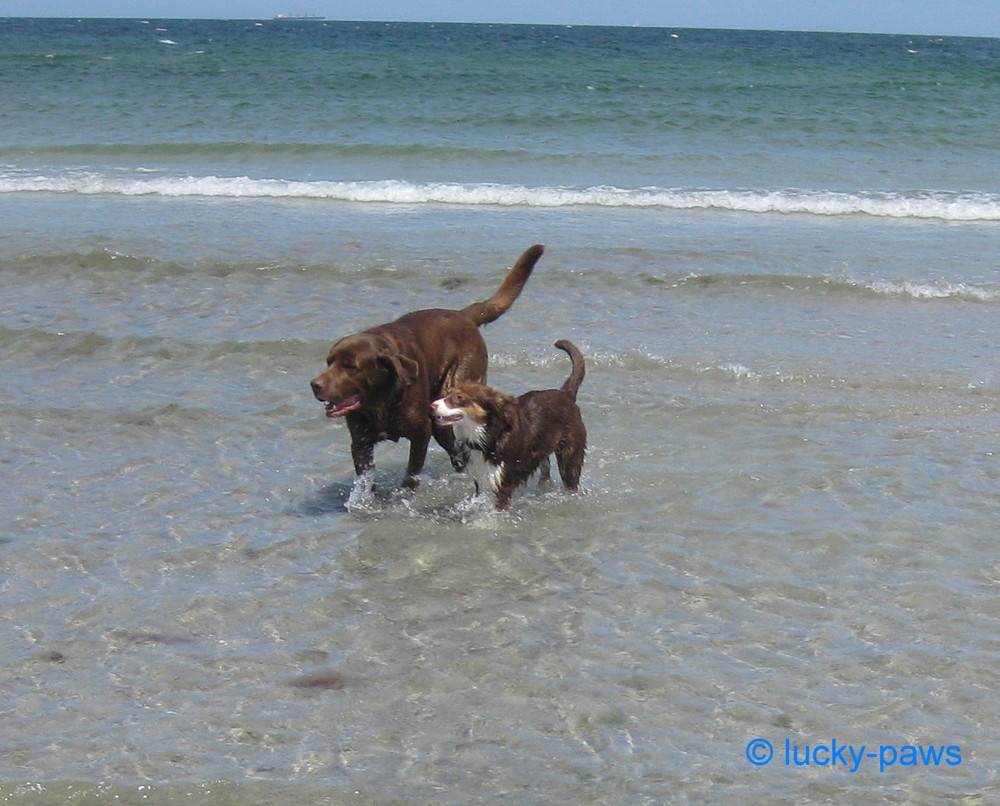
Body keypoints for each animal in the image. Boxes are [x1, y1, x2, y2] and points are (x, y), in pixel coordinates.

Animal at [312, 245, 548, 498]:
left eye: (351, 366)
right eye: (329, 361)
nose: (314, 384)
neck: (381, 402)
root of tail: (463, 314)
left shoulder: (420, 432)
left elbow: (411, 474)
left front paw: (404, 496)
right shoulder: (361, 441)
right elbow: (365, 480)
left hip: (453, 389)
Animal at [430, 340, 584, 512]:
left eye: (459, 398)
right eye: (447, 394)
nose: (431, 406)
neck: (486, 436)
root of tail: (566, 394)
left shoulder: (503, 484)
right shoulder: (481, 479)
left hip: (570, 457)